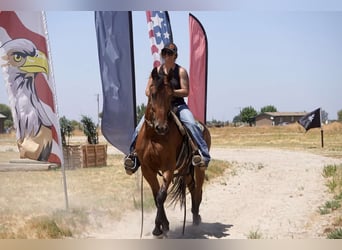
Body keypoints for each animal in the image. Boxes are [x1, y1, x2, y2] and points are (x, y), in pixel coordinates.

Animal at [134, 66, 210, 236]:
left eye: (170, 96)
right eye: (152, 94)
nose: (161, 127)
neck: (154, 136)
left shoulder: (168, 168)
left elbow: (161, 196)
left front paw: (159, 228)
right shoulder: (147, 169)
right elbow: (156, 196)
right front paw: (162, 225)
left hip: (198, 168)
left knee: (199, 191)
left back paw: (197, 218)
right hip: (185, 170)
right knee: (193, 188)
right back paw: (194, 216)